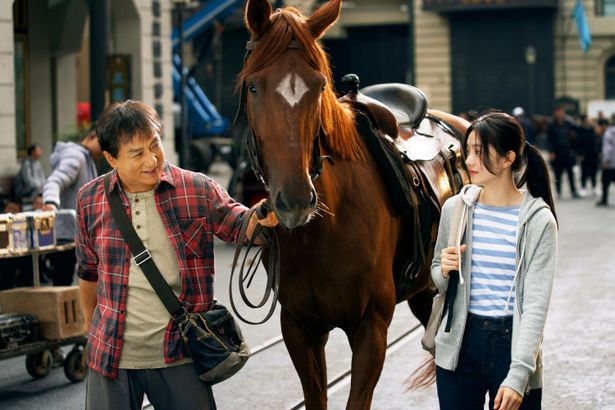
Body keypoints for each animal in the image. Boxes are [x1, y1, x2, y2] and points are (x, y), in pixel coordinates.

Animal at [238, 1, 470, 408]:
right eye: (253, 86)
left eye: (319, 86)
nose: (295, 199)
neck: (322, 232)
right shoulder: (299, 328)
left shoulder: (371, 328)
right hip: (425, 292)